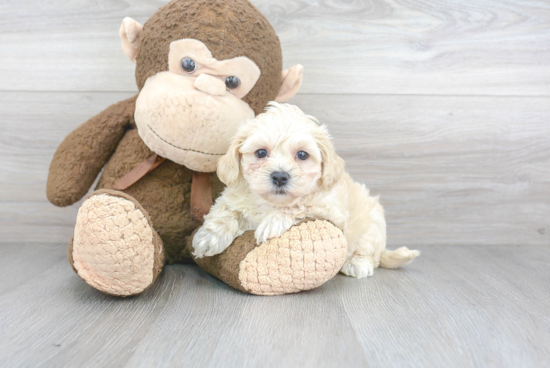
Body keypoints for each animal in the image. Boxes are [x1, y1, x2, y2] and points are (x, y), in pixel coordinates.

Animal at [192, 102, 420, 278]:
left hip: (373, 224)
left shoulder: (331, 212)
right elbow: (227, 212)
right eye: (261, 152)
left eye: (302, 155)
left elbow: (300, 206)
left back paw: (358, 264)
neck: (271, 203)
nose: (280, 176)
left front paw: (273, 223)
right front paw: (209, 237)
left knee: (370, 254)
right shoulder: (233, 197)